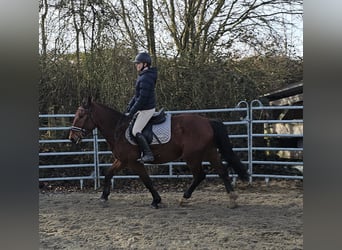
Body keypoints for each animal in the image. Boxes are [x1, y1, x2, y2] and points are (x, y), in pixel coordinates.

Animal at [69, 96, 248, 208]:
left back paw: (184, 199)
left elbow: (147, 180)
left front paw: (157, 200)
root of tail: (208, 121)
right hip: (209, 152)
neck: (117, 128)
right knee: (222, 171)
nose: (72, 138)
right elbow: (108, 174)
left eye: (81, 115)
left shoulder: (133, 162)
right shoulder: (122, 160)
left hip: (192, 157)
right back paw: (232, 199)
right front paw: (104, 197)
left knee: (200, 175)